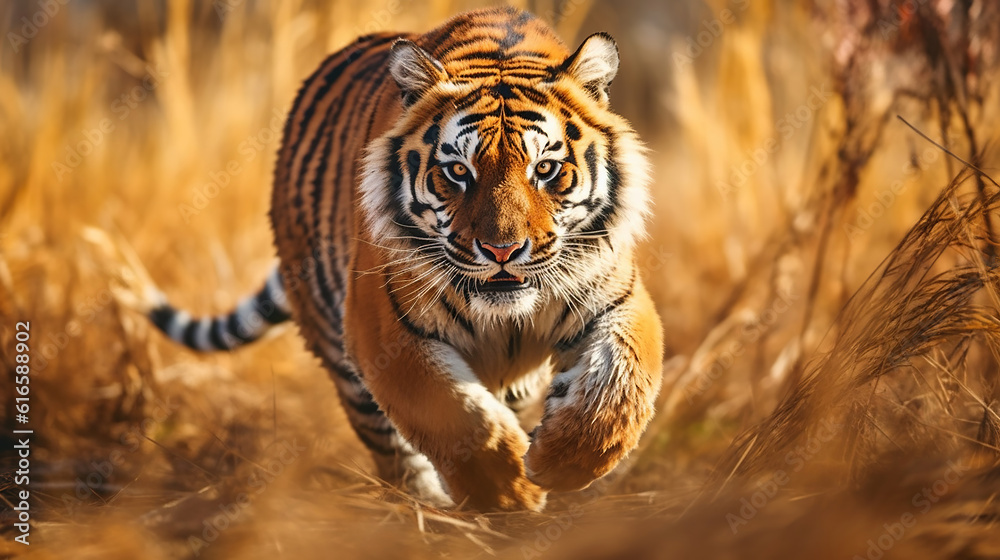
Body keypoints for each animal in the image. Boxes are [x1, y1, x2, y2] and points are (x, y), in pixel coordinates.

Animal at [147, 6, 663, 511]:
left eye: (546, 169)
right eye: (457, 171)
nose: (501, 251)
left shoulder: (617, 298)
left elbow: (621, 381)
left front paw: (563, 462)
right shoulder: (383, 328)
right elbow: (455, 415)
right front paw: (512, 490)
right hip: (338, 347)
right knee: (394, 453)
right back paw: (429, 511)